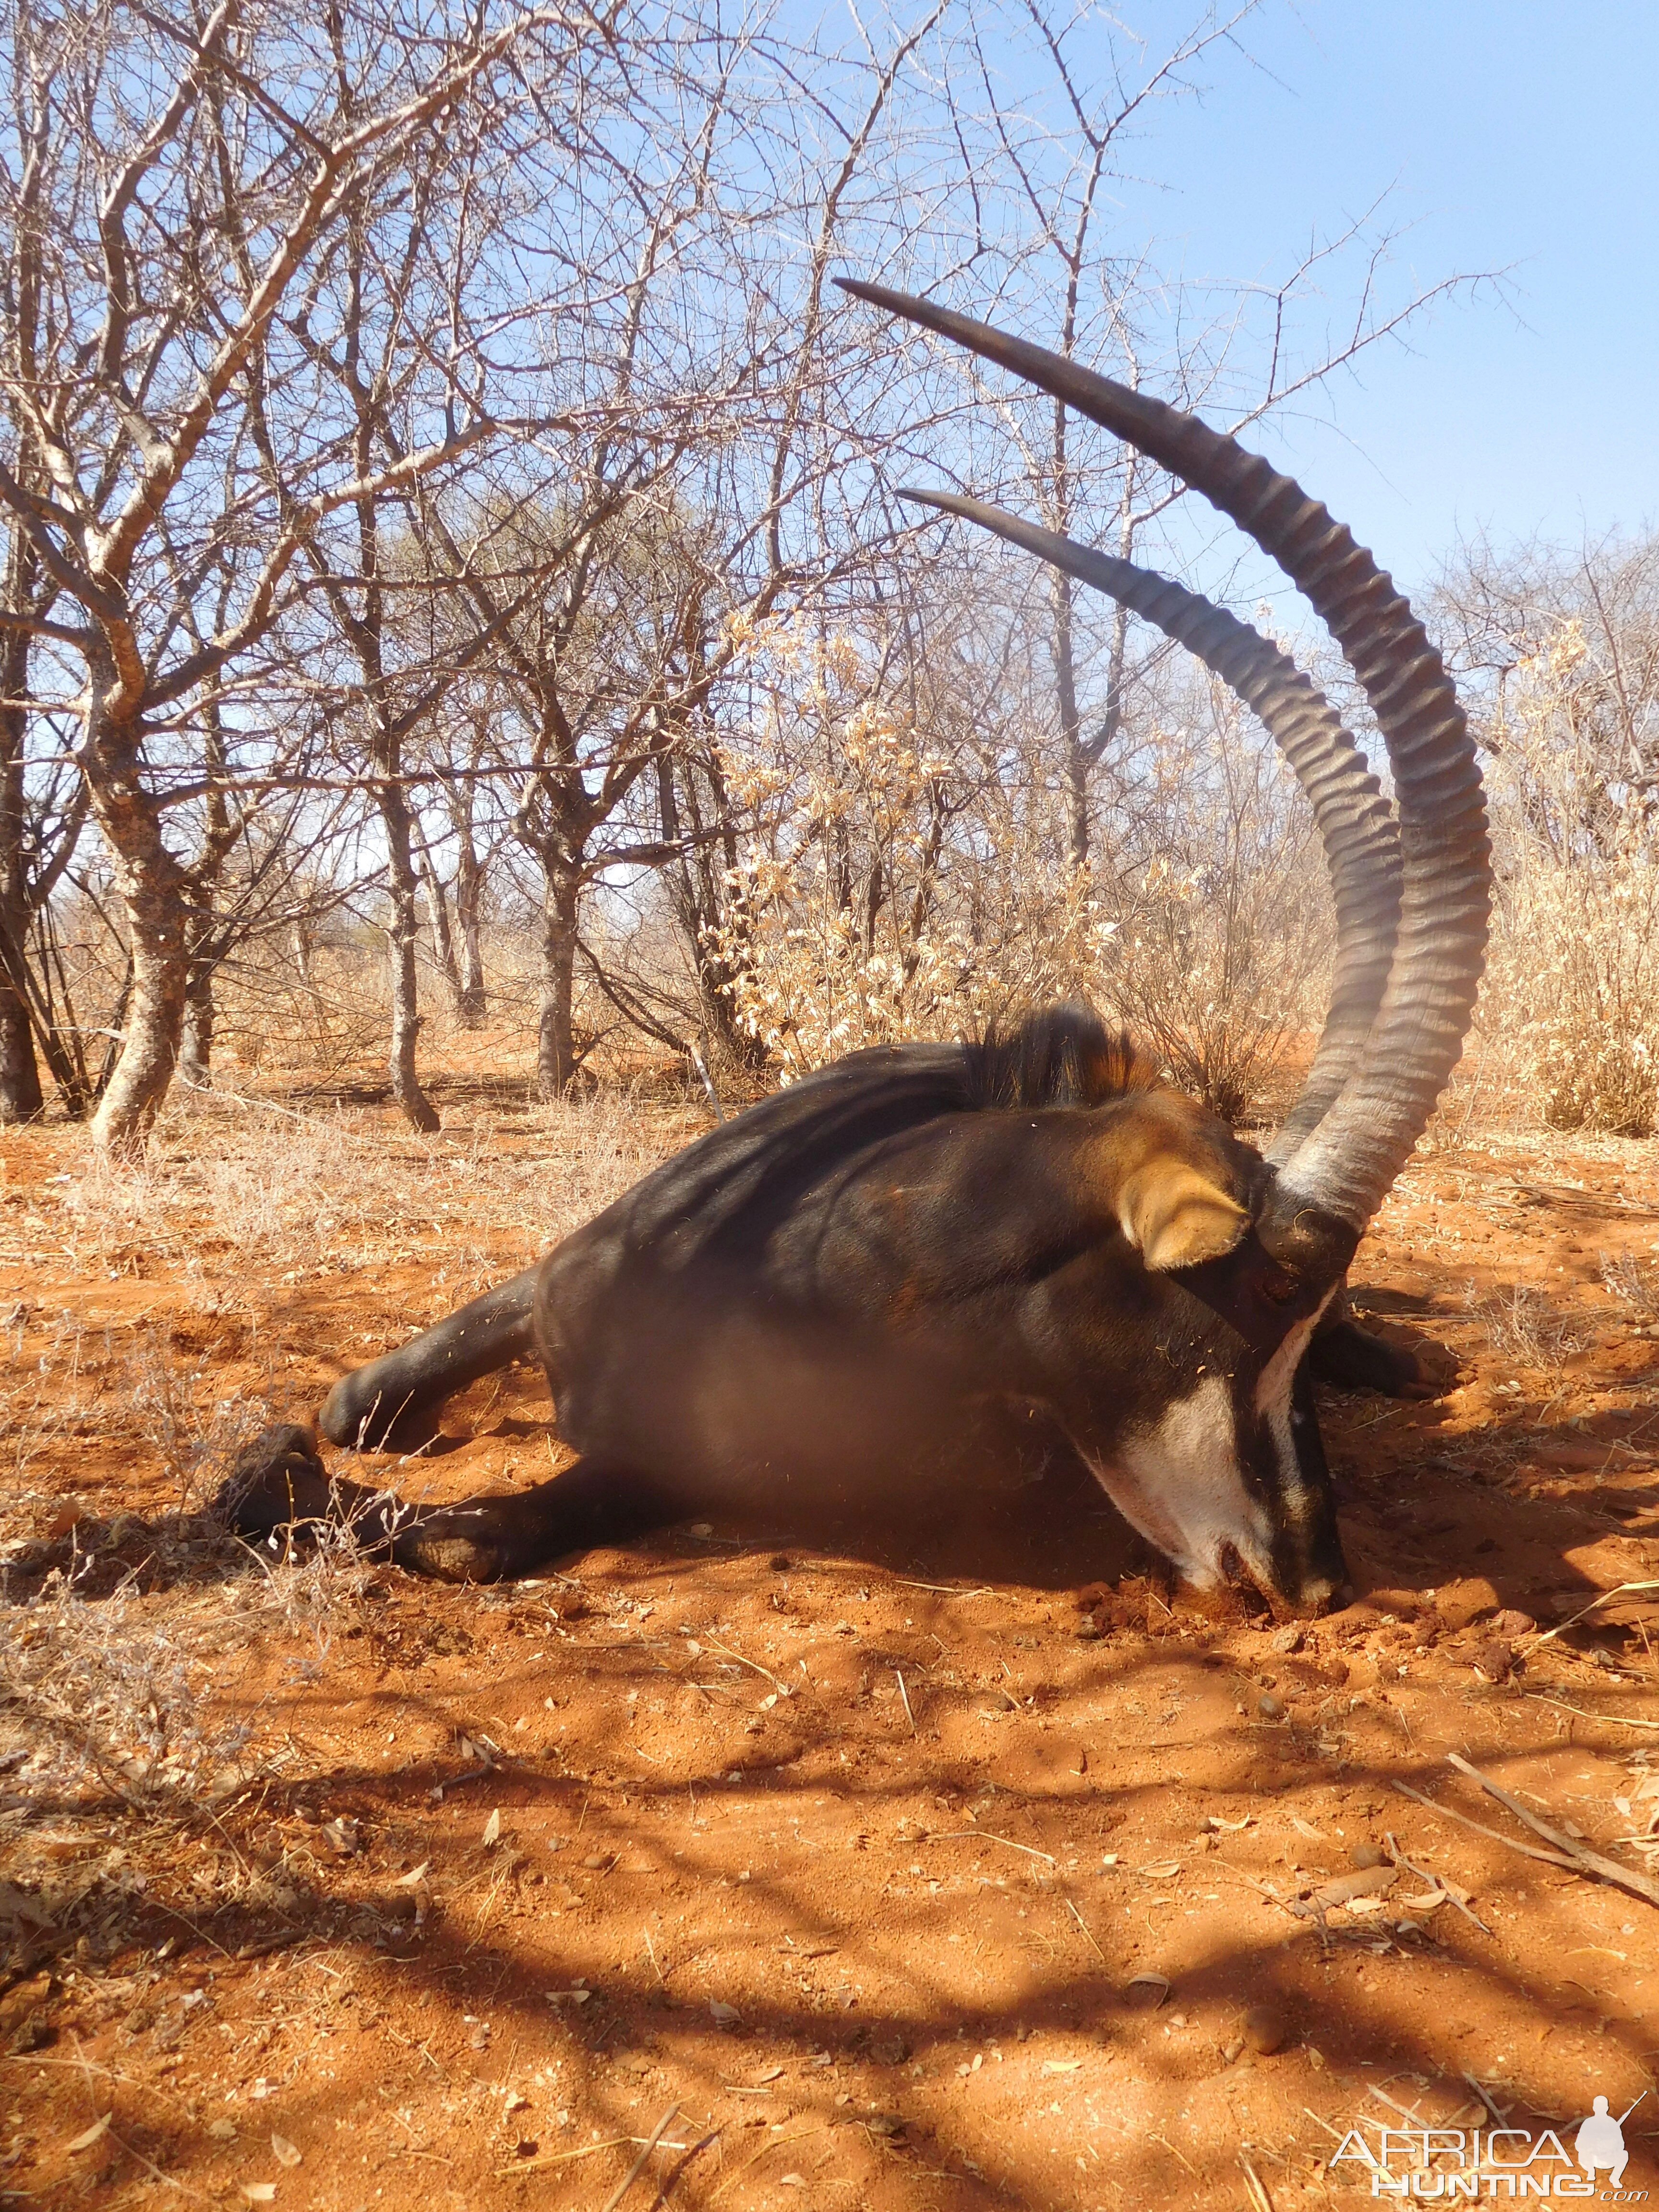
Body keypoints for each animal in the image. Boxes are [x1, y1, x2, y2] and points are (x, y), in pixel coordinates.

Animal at [224, 285, 1495, 1619]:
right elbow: (344, 1410)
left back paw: (1414, 1357)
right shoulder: (541, 1289)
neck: (817, 1279)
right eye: (1256, 1296)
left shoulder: (676, 1468)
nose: (1310, 1577)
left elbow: (475, 1538)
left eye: (1297, 1304)